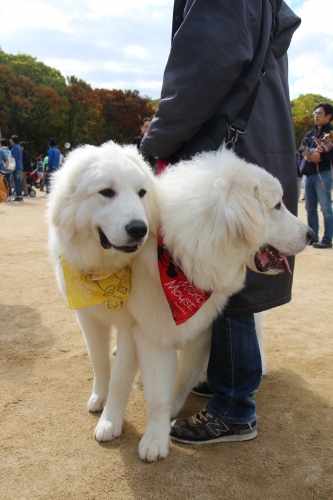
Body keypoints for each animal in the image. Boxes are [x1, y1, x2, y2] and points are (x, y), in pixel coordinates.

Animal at [48, 143, 312, 462]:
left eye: (141, 193)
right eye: (276, 206)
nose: (311, 235)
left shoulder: (181, 330)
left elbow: (160, 388)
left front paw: (152, 433)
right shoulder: (105, 321)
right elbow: (101, 365)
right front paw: (104, 403)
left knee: (256, 333)